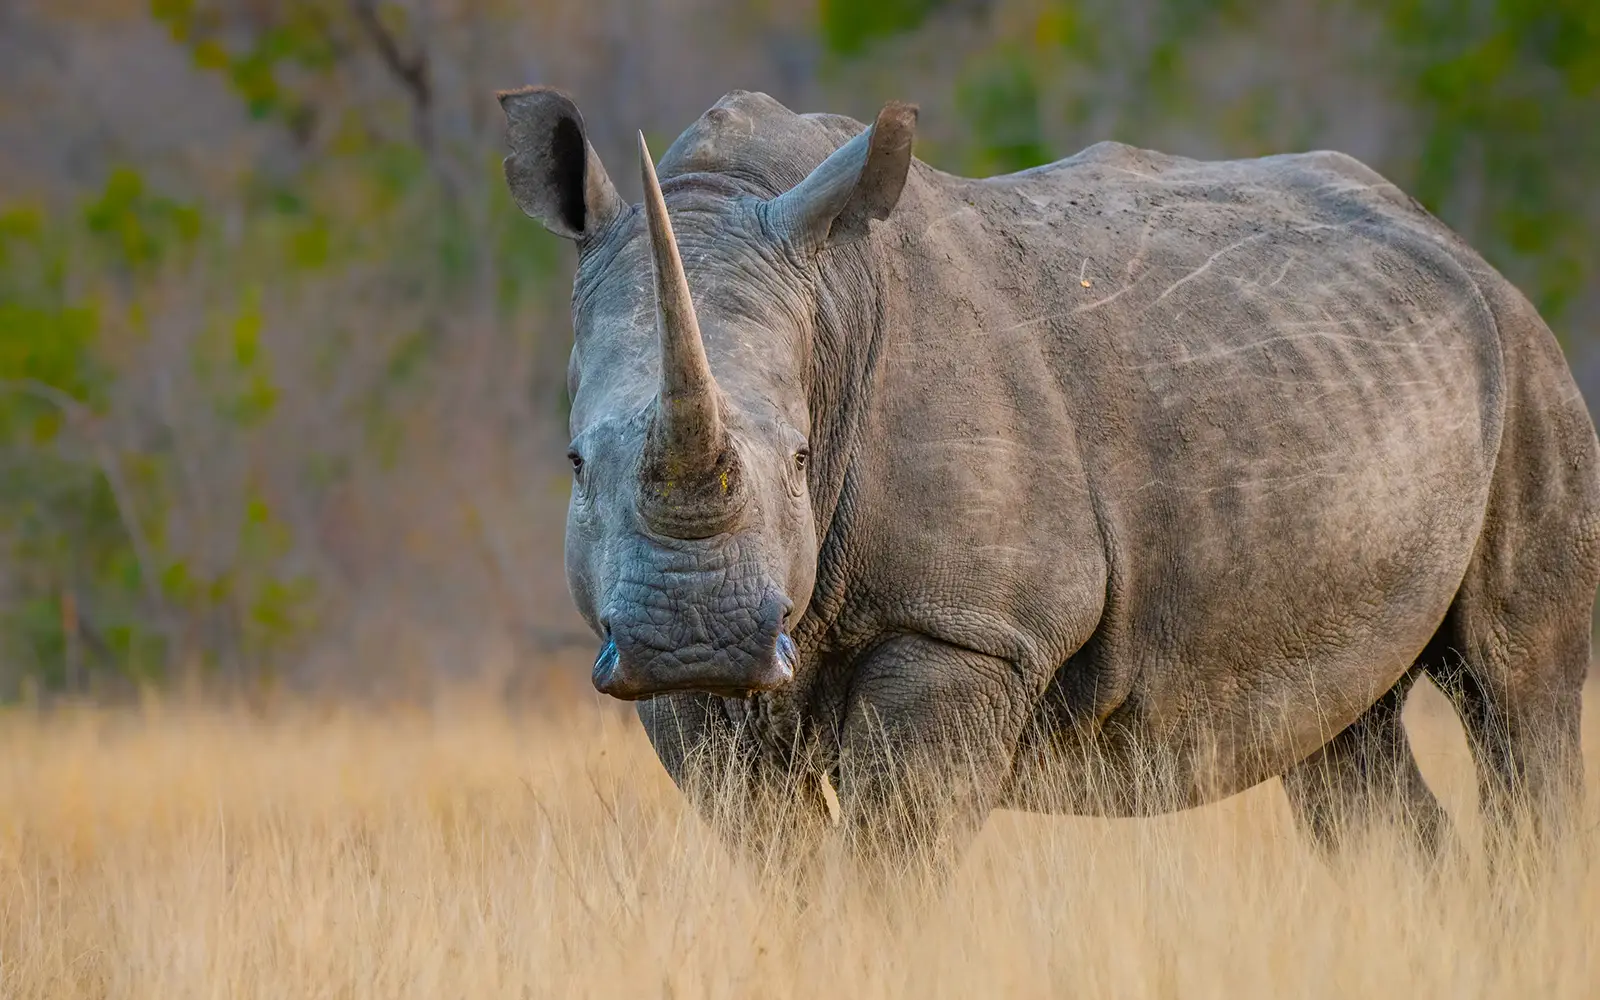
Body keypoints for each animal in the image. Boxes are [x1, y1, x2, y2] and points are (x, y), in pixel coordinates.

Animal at [498, 85, 1600, 869]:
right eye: (576, 463)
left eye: (805, 460)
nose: (697, 636)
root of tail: (1456, 243)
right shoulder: (664, 678)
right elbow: (776, 853)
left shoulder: (968, 626)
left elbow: (889, 855)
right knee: (1340, 742)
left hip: (1525, 361)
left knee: (1519, 699)